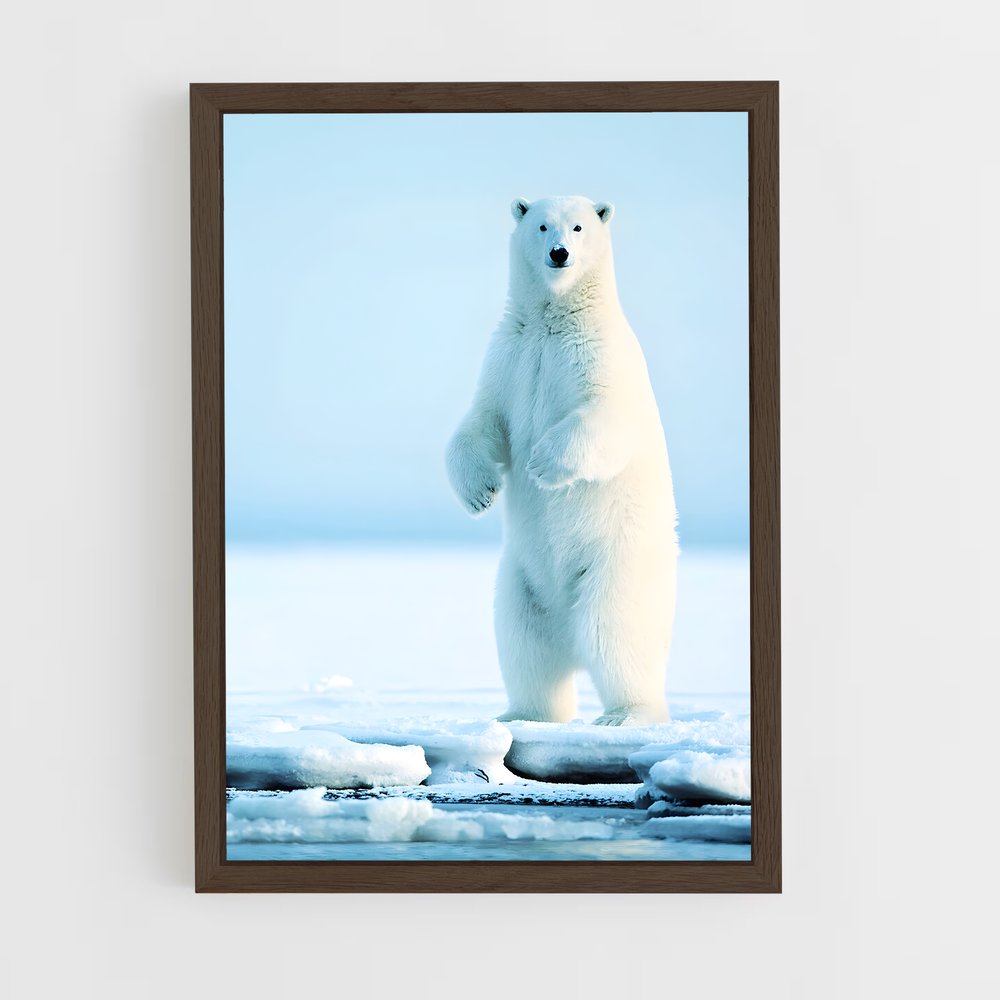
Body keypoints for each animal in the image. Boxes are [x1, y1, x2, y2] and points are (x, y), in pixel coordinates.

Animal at [446, 195, 678, 726]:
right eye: (541, 225)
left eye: (578, 227)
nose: (559, 253)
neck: (553, 321)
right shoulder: (510, 355)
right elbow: (483, 421)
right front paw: (481, 492)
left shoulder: (599, 354)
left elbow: (606, 416)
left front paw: (541, 464)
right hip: (520, 582)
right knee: (524, 645)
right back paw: (521, 713)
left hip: (615, 565)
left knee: (614, 633)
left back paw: (626, 713)